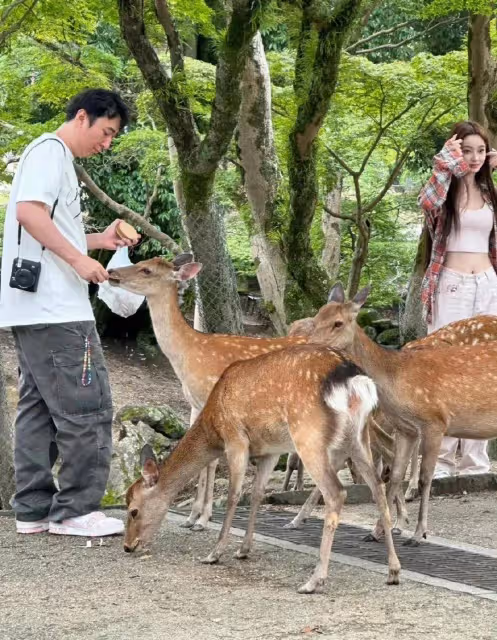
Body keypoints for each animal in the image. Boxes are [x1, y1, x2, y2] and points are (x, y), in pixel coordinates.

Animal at [123, 344, 401, 593]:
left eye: (133, 510)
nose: (127, 546)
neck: (213, 427)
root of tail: (353, 378)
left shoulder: (235, 439)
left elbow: (234, 495)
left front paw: (214, 553)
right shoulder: (270, 451)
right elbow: (256, 493)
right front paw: (243, 550)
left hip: (308, 433)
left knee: (336, 492)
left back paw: (314, 581)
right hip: (358, 436)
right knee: (378, 486)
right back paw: (393, 571)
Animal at [305, 283, 497, 546]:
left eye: (338, 323)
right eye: (315, 319)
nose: (310, 346)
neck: (396, 378)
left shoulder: (435, 421)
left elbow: (425, 478)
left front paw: (418, 533)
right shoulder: (406, 429)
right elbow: (394, 476)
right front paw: (377, 531)